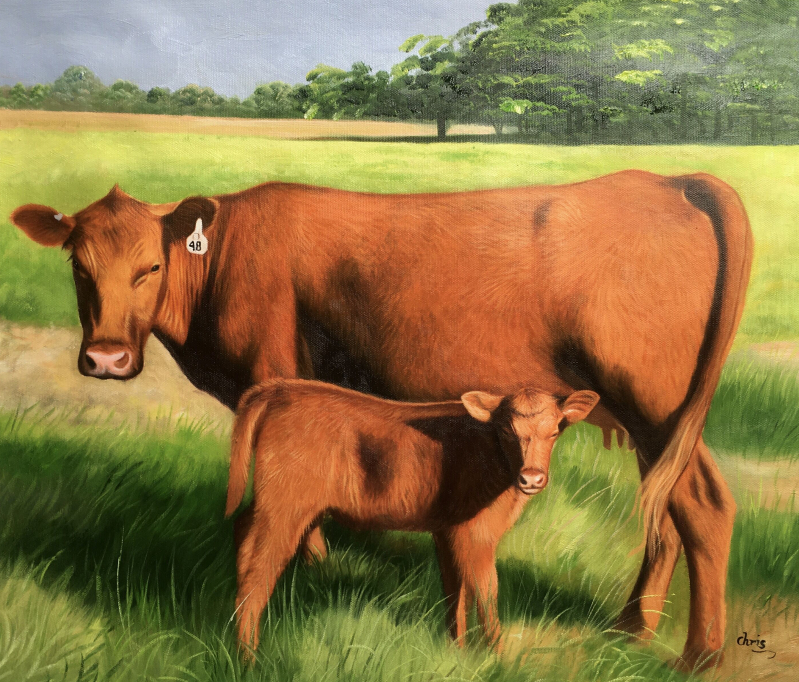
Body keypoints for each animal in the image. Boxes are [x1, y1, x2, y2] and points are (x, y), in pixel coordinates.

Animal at [225, 379, 600, 658]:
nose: (532, 478)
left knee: (242, 537)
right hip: (285, 507)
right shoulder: (475, 531)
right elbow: (485, 588)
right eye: (507, 430)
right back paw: (249, 658)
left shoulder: (447, 530)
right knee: (260, 570)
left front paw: (457, 653)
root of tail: (280, 388)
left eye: (555, 430)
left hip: (269, 502)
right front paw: (497, 658)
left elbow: (454, 590)